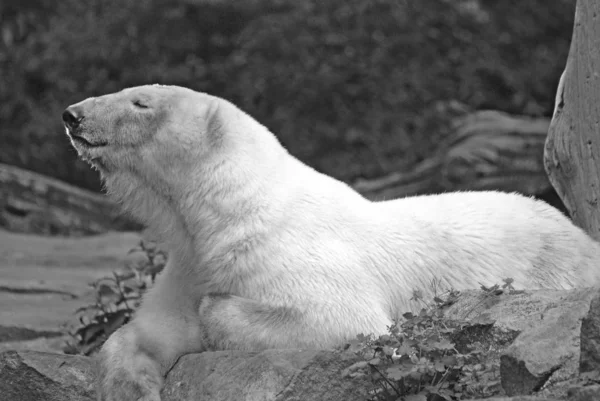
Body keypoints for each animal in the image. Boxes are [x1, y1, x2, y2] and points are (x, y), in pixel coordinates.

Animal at [63, 85, 600, 400]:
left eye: (140, 103)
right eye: (128, 91)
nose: (72, 115)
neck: (226, 213)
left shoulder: (288, 252)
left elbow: (344, 321)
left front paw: (214, 318)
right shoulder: (190, 262)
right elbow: (145, 331)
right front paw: (132, 387)